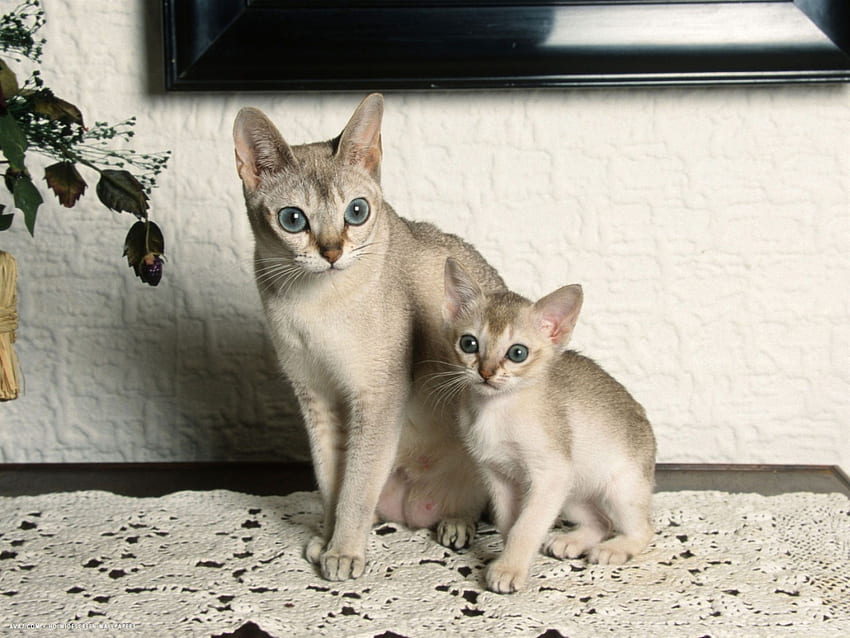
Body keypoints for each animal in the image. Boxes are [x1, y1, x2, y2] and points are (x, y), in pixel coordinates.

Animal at [232, 92, 504, 584]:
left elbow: (356, 485)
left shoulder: (375, 395)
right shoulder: (316, 397)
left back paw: (456, 523)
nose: (332, 252)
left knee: (475, 502)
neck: (314, 307)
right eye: (292, 219)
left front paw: (343, 552)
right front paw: (328, 538)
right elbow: (330, 481)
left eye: (356, 212)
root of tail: (415, 510)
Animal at [440, 258, 652, 596]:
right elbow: (509, 522)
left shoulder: (549, 475)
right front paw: (509, 559)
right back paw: (570, 542)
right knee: (601, 522)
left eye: (517, 353)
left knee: (644, 529)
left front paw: (509, 569)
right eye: (469, 343)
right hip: (572, 494)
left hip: (619, 489)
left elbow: (525, 526)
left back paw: (614, 549)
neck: (497, 413)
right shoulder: (499, 475)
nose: (486, 372)